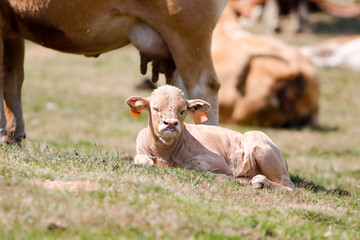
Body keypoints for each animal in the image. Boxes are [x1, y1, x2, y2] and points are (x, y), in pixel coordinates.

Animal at [126, 85, 296, 190]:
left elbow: (190, 164)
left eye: (182, 110)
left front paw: (222, 176)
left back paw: (260, 182)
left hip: (265, 151)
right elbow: (142, 160)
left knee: (288, 186)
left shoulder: (219, 162)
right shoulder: (141, 151)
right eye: (155, 108)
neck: (165, 153)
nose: (171, 123)